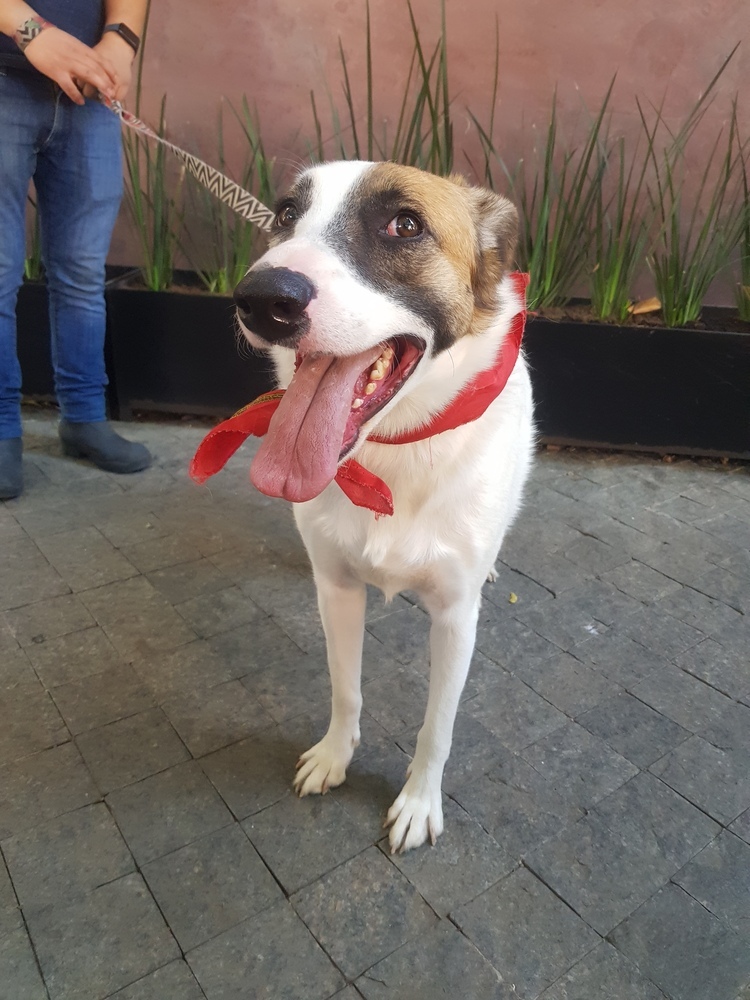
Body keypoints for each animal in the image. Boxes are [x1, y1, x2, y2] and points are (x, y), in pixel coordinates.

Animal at [232, 164, 532, 852]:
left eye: (405, 224)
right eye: (285, 214)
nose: (261, 298)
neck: (396, 454)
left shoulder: (455, 618)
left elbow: (436, 728)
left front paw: (419, 802)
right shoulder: (338, 590)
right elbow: (346, 689)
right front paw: (333, 757)